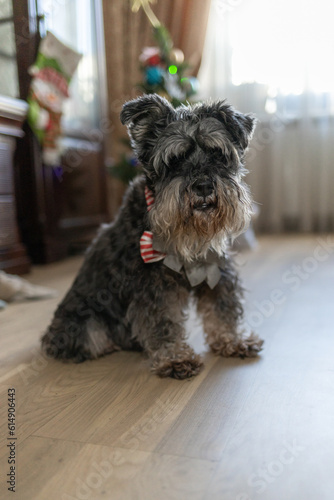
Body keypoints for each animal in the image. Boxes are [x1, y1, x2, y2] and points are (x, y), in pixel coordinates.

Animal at [41, 94, 264, 378]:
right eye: (175, 159)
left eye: (217, 153)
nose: (203, 186)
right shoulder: (153, 286)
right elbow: (162, 322)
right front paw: (175, 359)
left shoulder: (216, 269)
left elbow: (222, 309)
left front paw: (232, 340)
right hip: (85, 323)